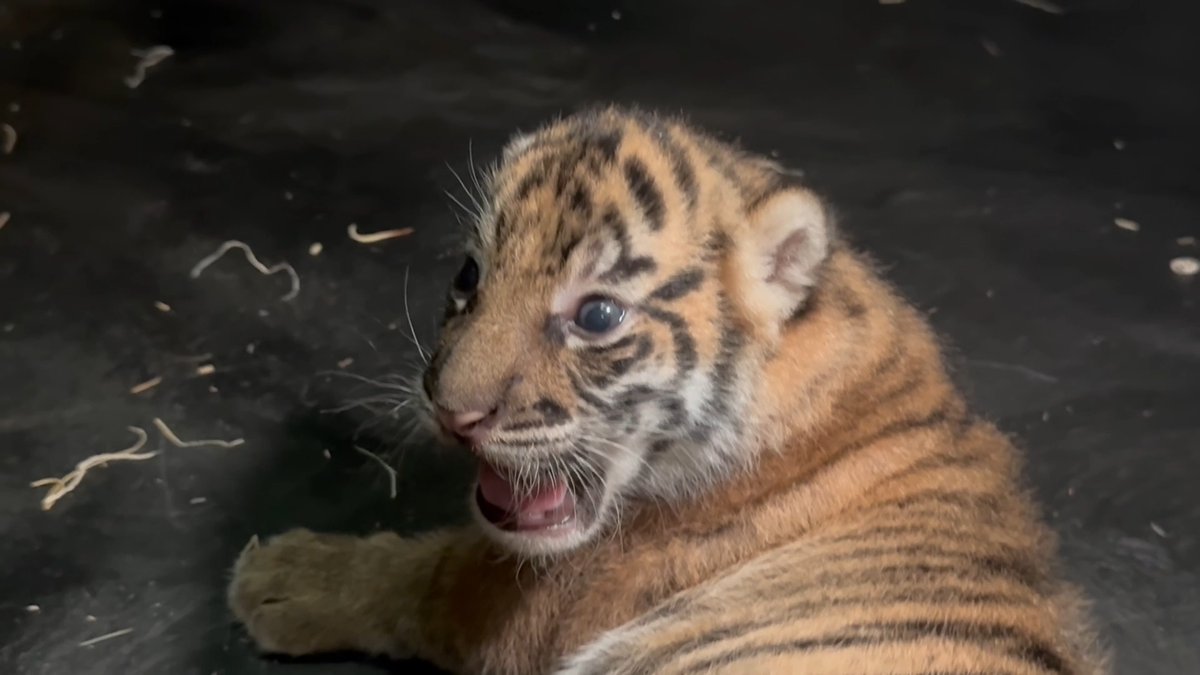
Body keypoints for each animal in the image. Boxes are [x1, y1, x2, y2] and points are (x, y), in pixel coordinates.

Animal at [227, 105, 1107, 674]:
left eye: (597, 314)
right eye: (470, 276)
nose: (453, 413)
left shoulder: (531, 598)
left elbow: (423, 579)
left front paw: (280, 577)